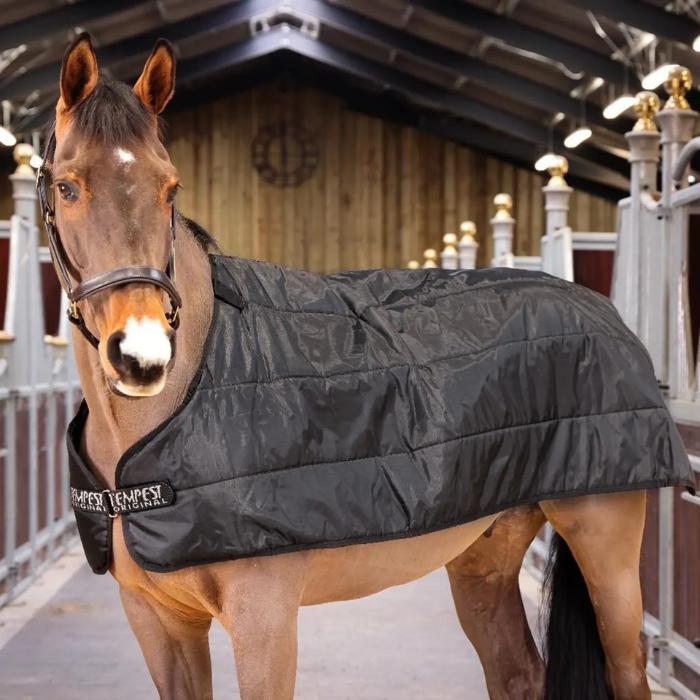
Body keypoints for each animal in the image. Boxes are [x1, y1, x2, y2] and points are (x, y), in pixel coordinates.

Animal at [43, 33, 663, 700]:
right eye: (67, 188)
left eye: (170, 188)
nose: (142, 354)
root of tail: (601, 307)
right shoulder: (157, 621)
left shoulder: (264, 622)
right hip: (484, 556)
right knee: (518, 672)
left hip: (604, 544)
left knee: (627, 670)